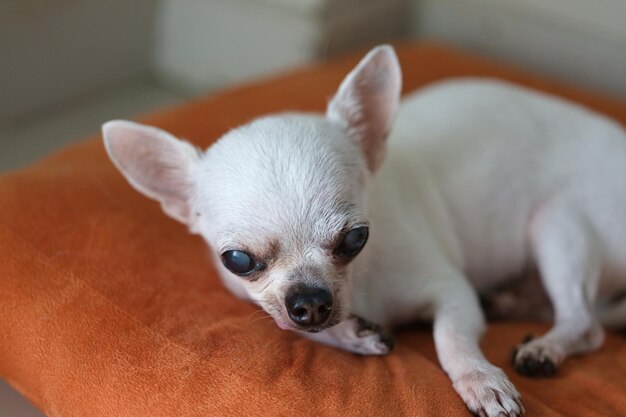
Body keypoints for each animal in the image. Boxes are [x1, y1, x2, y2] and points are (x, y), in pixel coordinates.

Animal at [102, 46, 624, 416]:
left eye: (356, 238)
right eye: (238, 261)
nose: (310, 301)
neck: (362, 287)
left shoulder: (451, 291)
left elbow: (451, 338)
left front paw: (479, 379)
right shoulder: (270, 307)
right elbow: (296, 328)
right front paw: (353, 335)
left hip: (556, 223)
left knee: (586, 322)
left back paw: (546, 345)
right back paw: (510, 301)